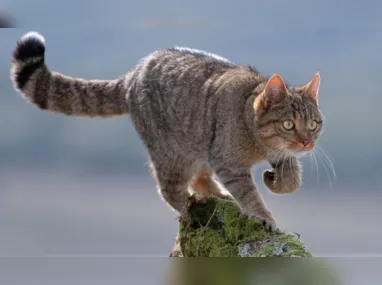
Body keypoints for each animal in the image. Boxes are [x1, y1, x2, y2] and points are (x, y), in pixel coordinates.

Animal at [9, 31, 322, 231]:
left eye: (314, 124)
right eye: (288, 124)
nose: (307, 142)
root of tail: (132, 74)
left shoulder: (275, 155)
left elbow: (292, 178)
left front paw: (276, 180)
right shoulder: (228, 161)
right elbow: (249, 193)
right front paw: (262, 215)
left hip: (195, 146)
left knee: (199, 178)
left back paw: (218, 196)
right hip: (173, 153)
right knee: (171, 190)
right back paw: (192, 209)